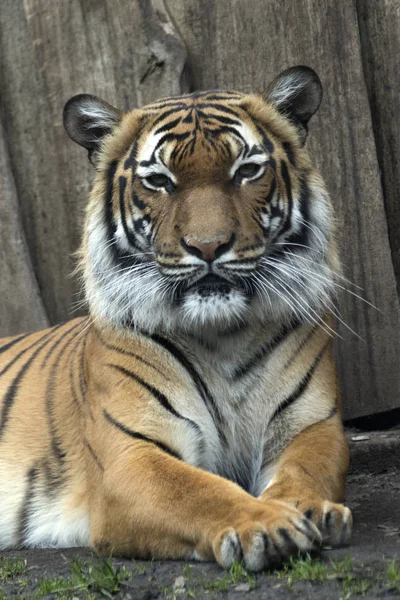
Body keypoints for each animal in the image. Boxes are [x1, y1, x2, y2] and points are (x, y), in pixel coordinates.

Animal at [0, 67, 350, 572]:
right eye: (159, 180)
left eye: (246, 171)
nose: (208, 246)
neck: (223, 336)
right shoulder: (131, 455)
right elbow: (200, 490)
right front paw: (268, 523)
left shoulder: (312, 425)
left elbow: (306, 469)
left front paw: (311, 509)